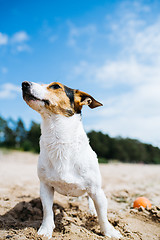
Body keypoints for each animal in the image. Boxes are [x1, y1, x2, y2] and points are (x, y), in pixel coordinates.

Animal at [21, 81, 122, 239]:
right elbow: (48, 211)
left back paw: (92, 211)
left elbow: (103, 215)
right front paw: (45, 230)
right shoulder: (45, 186)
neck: (60, 140)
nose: (24, 84)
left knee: (91, 200)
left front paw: (109, 232)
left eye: (55, 86)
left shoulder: (96, 190)